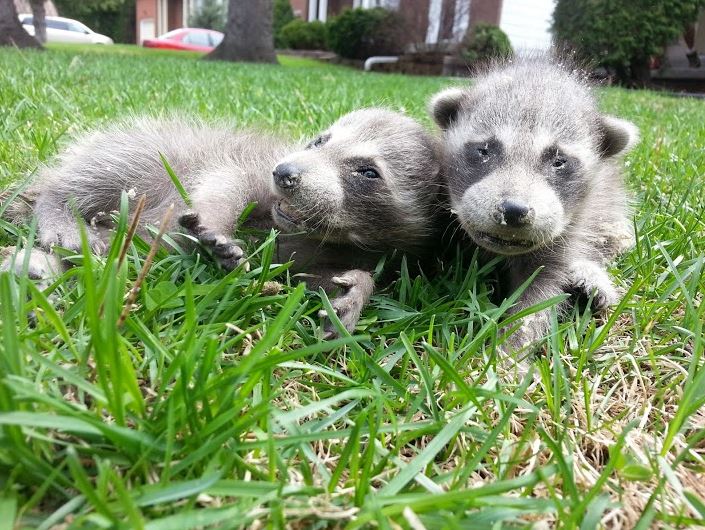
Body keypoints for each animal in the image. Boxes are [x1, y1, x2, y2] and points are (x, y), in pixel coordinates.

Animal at [1, 109, 440, 336]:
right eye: (319, 141)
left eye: (368, 172)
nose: (286, 173)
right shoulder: (252, 164)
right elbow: (225, 182)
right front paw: (215, 228)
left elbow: (304, 275)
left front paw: (355, 290)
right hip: (134, 150)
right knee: (87, 179)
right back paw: (56, 213)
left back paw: (38, 268)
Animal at [428, 55, 640, 354]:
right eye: (483, 150)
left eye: (559, 161)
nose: (514, 211)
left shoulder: (564, 237)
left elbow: (538, 301)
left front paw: (508, 354)